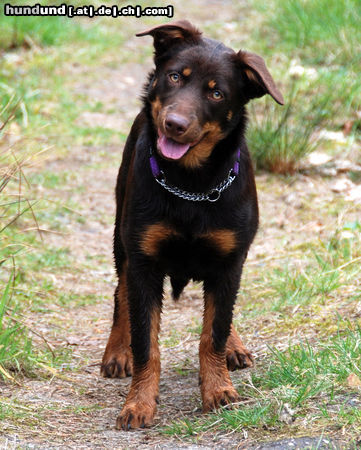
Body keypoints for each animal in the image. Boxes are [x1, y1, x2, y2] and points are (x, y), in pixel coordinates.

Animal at [100, 20, 282, 428]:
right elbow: (145, 343)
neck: (191, 185)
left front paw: (218, 389)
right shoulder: (144, 262)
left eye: (216, 93)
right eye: (174, 77)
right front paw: (138, 404)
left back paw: (234, 346)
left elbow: (213, 332)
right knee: (121, 292)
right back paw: (116, 351)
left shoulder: (230, 260)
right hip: (121, 239)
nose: (175, 124)